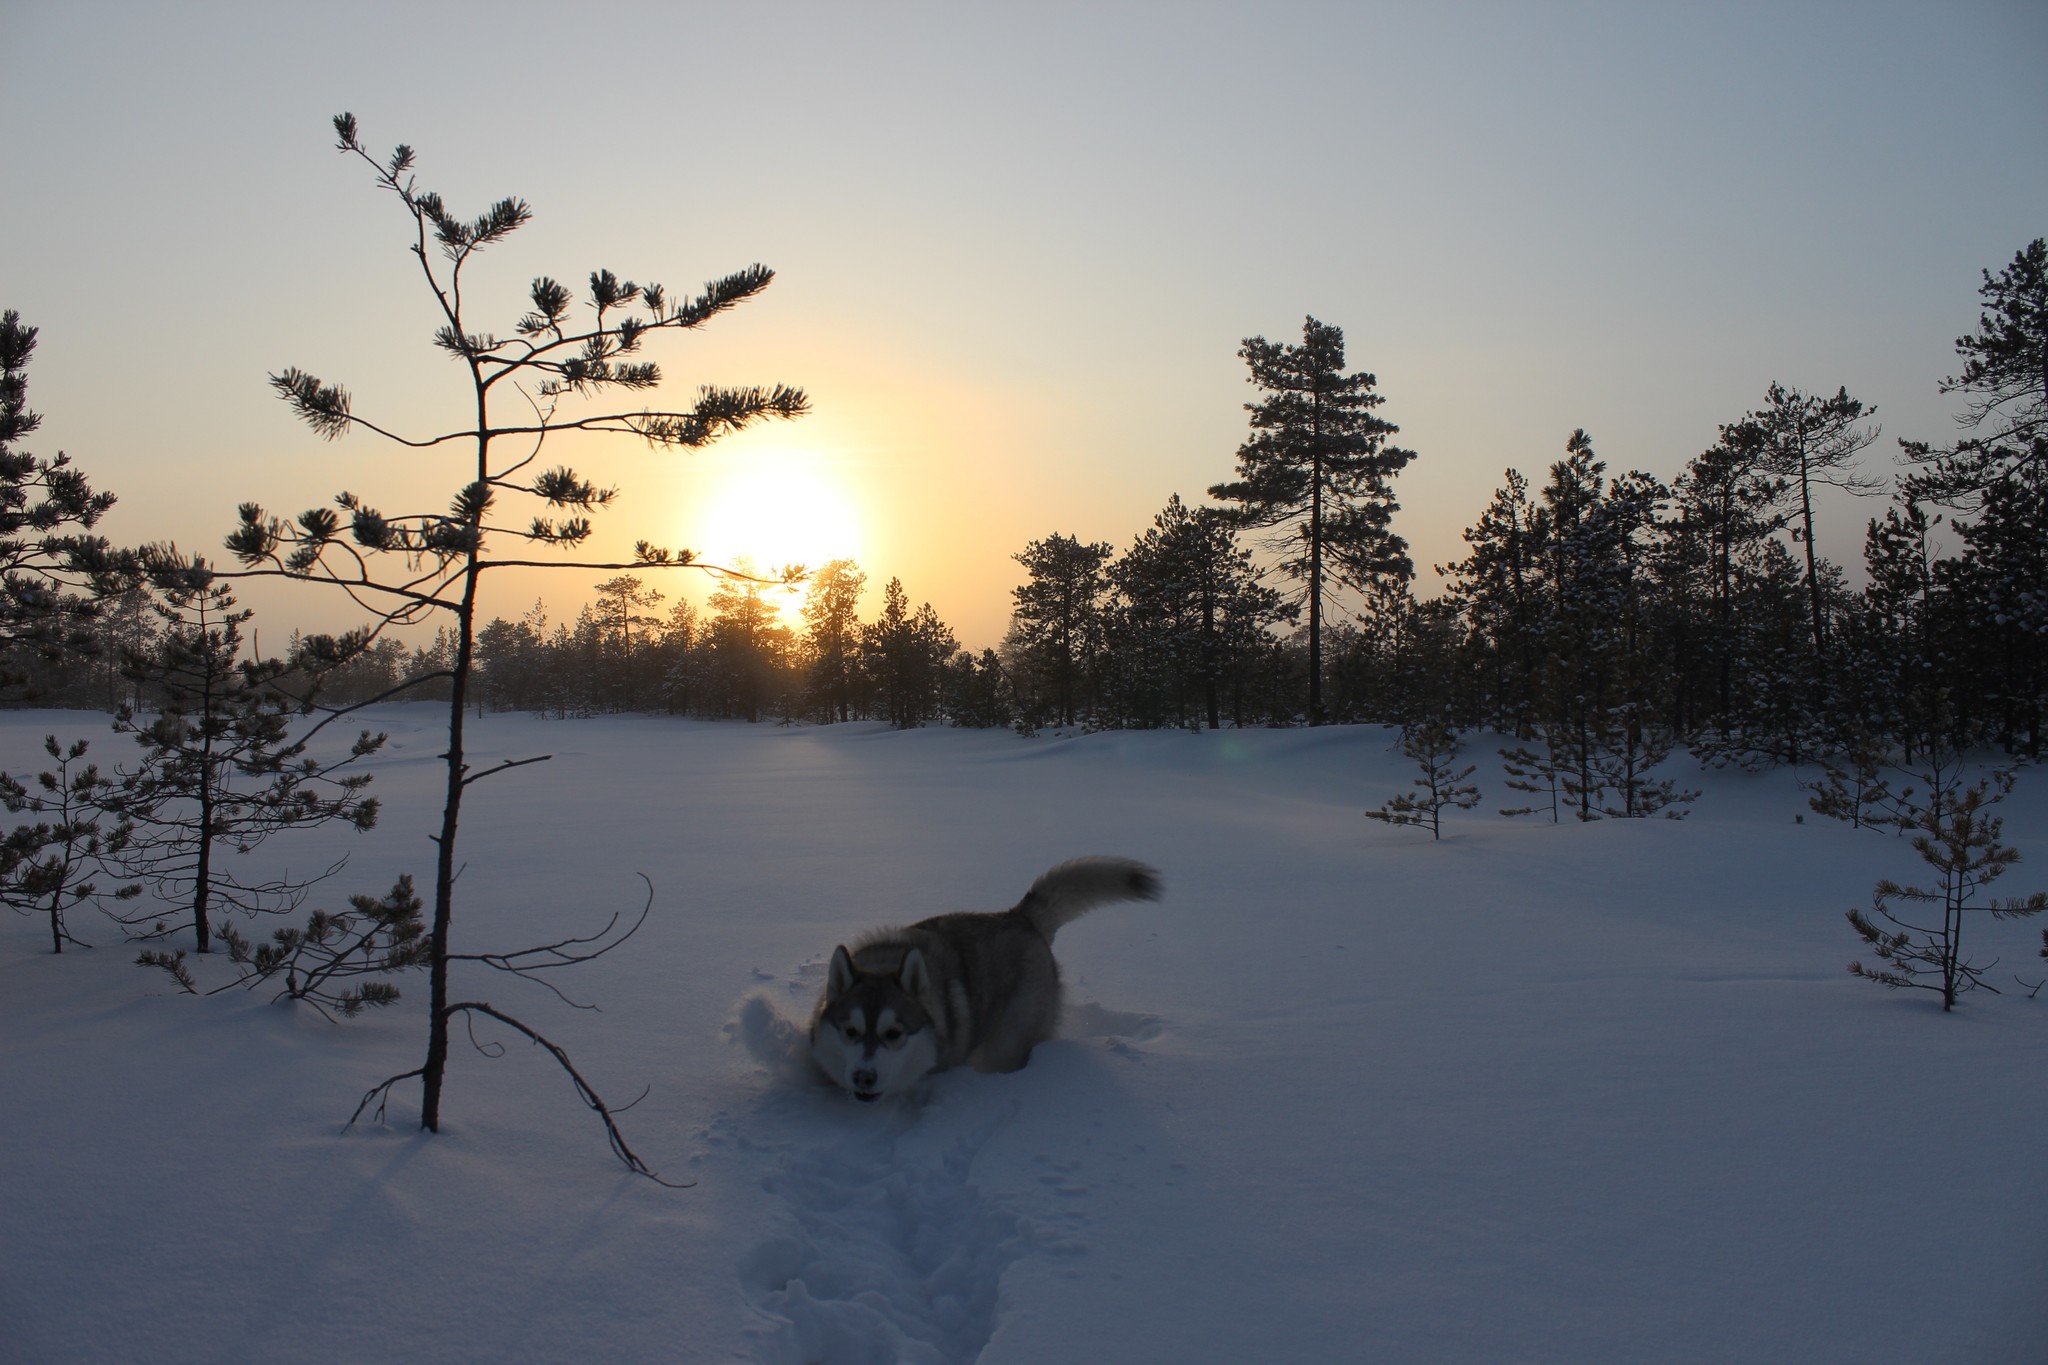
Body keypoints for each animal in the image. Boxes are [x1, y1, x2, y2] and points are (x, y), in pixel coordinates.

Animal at [806, 859, 1163, 1105]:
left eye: (893, 1034)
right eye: (850, 1032)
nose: (863, 1077)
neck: (887, 961)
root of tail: (1018, 915)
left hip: (1007, 1042)